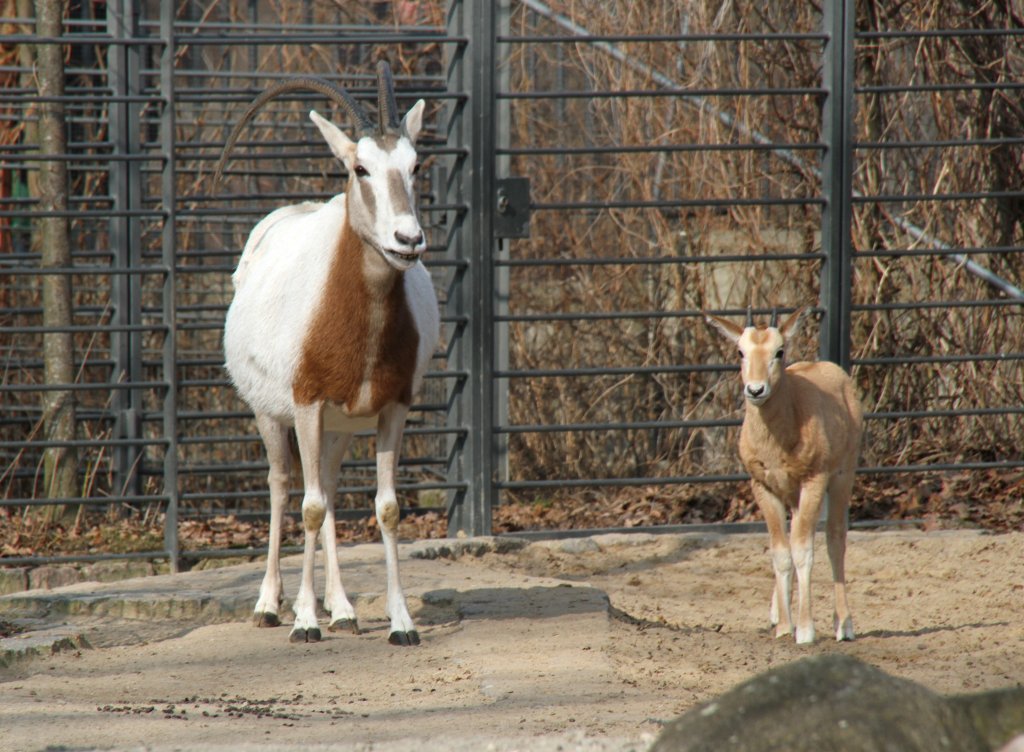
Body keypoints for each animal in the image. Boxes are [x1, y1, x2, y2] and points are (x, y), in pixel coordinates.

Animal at [214, 61, 438, 647]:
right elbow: (309, 508)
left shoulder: (392, 408)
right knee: (284, 485)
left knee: (331, 486)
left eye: (415, 165)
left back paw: (343, 609)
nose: (408, 239)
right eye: (360, 168)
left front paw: (401, 623)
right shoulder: (307, 404)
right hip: (273, 415)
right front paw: (304, 620)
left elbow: (386, 508)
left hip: (339, 427)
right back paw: (271, 605)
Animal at [704, 307, 864, 647]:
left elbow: (803, 551)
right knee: (793, 540)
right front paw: (784, 627)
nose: (755, 390)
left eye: (779, 351)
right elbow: (780, 552)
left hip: (841, 476)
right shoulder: (764, 486)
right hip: (792, 494)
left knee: (834, 539)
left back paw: (843, 623)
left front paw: (804, 629)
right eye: (740, 351)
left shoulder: (813, 480)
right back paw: (778, 614)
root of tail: (835, 372)